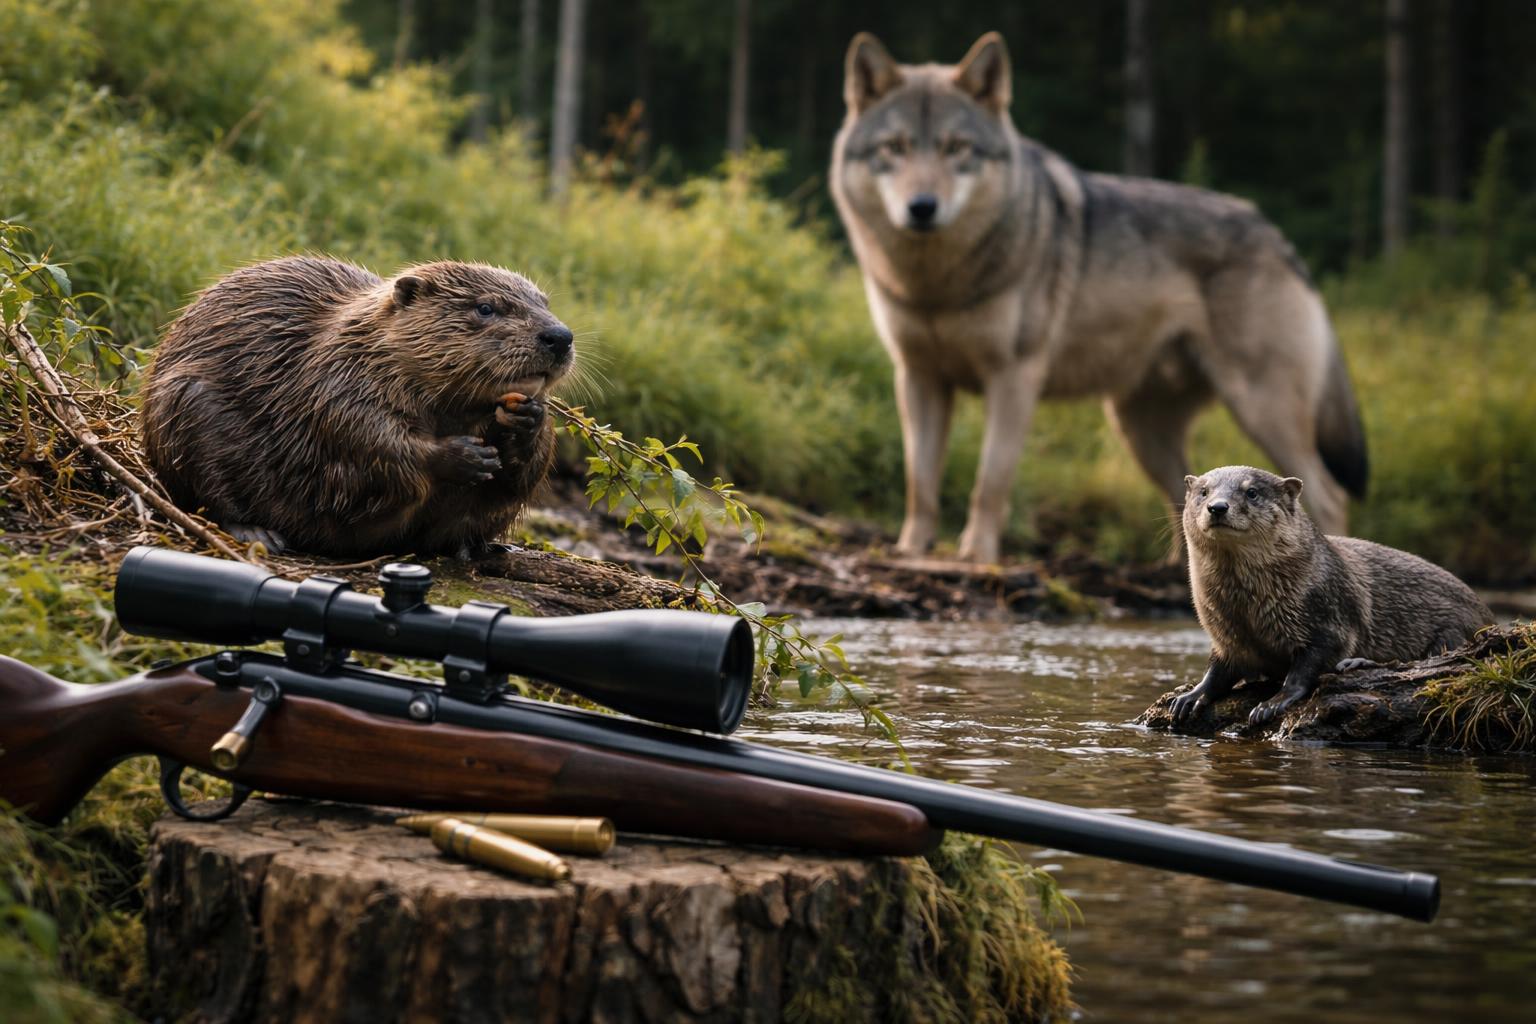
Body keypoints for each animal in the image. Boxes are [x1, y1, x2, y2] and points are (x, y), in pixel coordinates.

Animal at [830, 31, 1367, 563]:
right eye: (895, 147)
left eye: (956, 148)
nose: (922, 208)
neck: (936, 284)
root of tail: (1278, 237)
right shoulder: (917, 377)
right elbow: (919, 480)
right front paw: (909, 548)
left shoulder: (1013, 378)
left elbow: (990, 481)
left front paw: (977, 556)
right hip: (1141, 430)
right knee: (1188, 499)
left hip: (1260, 408)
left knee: (1327, 494)